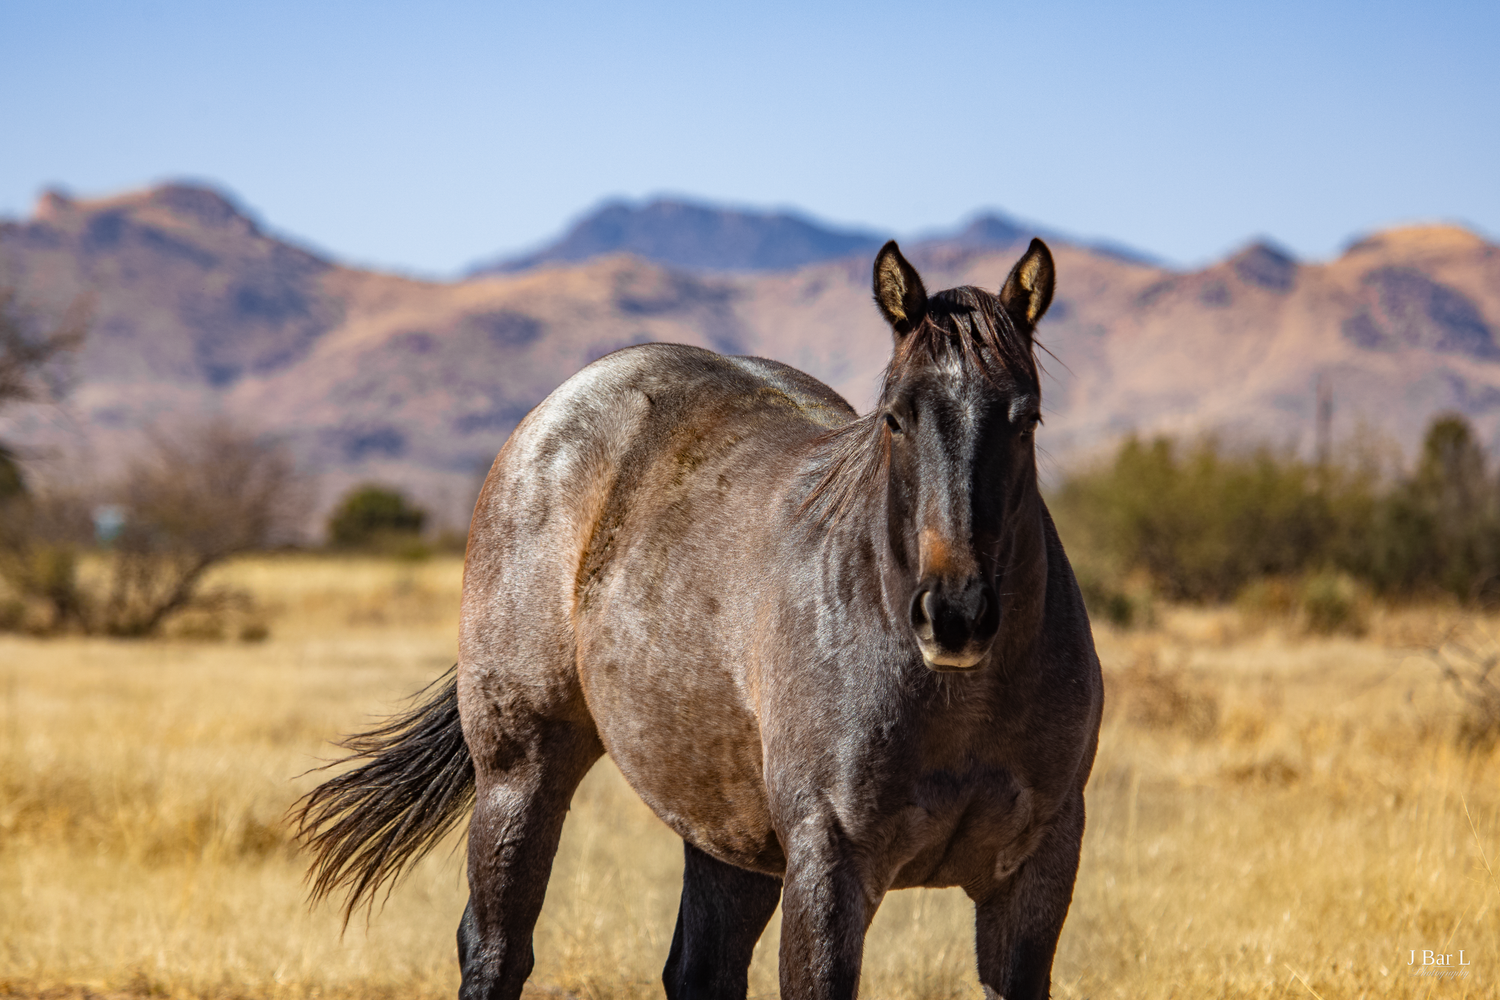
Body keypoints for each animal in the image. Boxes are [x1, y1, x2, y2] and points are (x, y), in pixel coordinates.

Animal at [295, 238, 1103, 1000]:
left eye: (1026, 418)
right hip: (520, 772)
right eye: (896, 418)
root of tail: (554, 415)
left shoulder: (1035, 878)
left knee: (699, 970)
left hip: (729, 829)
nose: (954, 615)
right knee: (496, 948)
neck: (958, 704)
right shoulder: (831, 868)